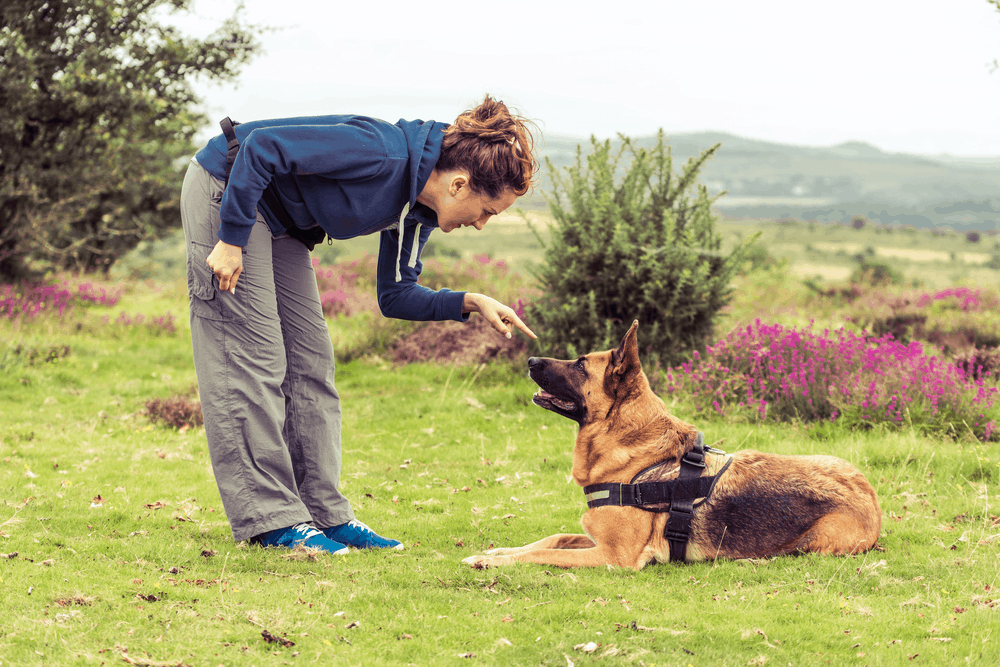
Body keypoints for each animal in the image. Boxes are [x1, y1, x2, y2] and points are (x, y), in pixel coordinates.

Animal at [462, 322, 884, 568]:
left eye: (581, 365)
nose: (531, 359)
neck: (630, 450)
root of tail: (872, 500)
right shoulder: (594, 539)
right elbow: (553, 538)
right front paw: (496, 552)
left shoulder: (614, 556)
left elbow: (544, 552)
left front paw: (490, 561)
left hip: (812, 543)